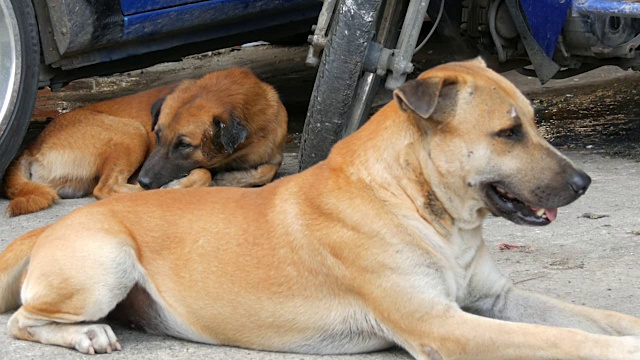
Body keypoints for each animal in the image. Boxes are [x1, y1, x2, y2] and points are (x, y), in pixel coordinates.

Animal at [2, 68, 288, 217]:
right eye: (158, 135)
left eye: (184, 145)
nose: (145, 180)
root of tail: (32, 147)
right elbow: (205, 173)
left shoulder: (271, 152)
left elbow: (267, 168)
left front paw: (234, 178)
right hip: (132, 132)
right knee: (106, 189)